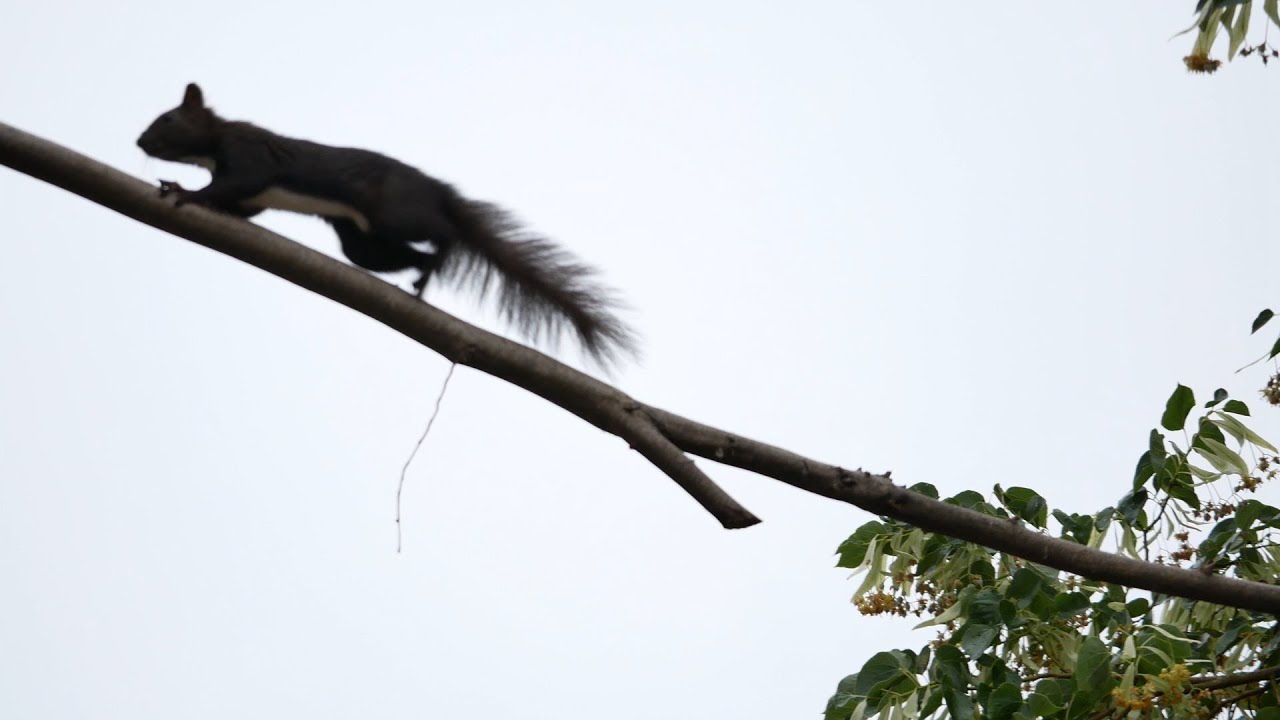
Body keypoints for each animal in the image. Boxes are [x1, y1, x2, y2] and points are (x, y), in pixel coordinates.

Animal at [137, 83, 638, 367]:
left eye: (168, 118)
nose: (139, 140)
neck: (212, 144)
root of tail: (438, 189)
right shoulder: (252, 194)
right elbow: (242, 204)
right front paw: (211, 204)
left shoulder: (250, 154)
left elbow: (240, 181)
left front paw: (184, 191)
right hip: (365, 242)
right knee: (401, 254)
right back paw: (422, 276)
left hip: (395, 212)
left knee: (443, 233)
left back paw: (438, 258)